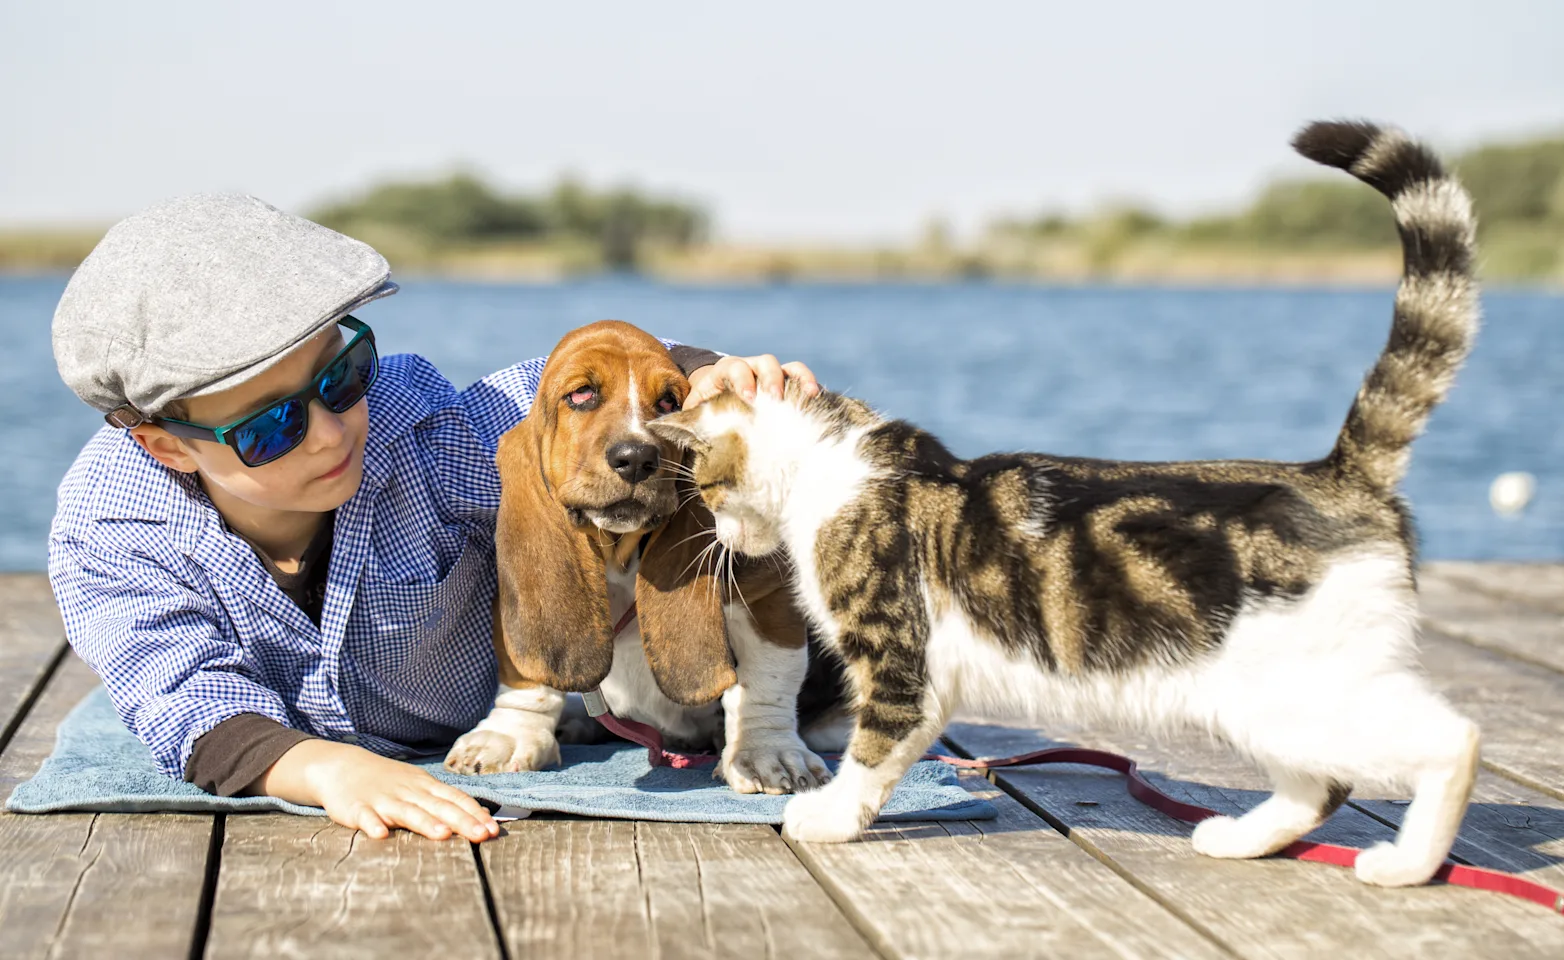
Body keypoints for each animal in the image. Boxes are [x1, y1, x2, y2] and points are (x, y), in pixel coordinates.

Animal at [447, 320, 838, 794]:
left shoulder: (768, 595)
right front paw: (507, 736)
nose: (635, 457)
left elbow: (768, 679)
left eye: (669, 402)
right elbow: (527, 676)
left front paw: (767, 753)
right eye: (581, 394)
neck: (619, 550)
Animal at [647, 120, 1476, 888]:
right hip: (1266, 701)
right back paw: (1242, 837)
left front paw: (828, 818)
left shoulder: (899, 655)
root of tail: (1338, 475)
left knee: (1452, 740)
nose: (724, 536)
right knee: (1321, 784)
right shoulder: (930, 676)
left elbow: (875, 749)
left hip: (1311, 685)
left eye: (708, 490)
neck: (829, 459)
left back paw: (1406, 861)